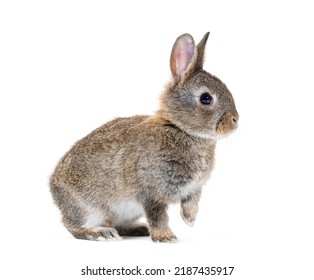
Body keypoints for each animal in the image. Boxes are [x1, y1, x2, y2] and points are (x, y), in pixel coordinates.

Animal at [50, 32, 238, 243]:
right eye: (206, 98)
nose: (236, 120)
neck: (179, 128)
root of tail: (53, 188)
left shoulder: (193, 189)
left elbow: (191, 203)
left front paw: (189, 220)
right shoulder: (151, 193)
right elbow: (157, 215)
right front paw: (166, 237)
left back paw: (138, 229)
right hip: (89, 209)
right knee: (72, 226)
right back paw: (100, 233)